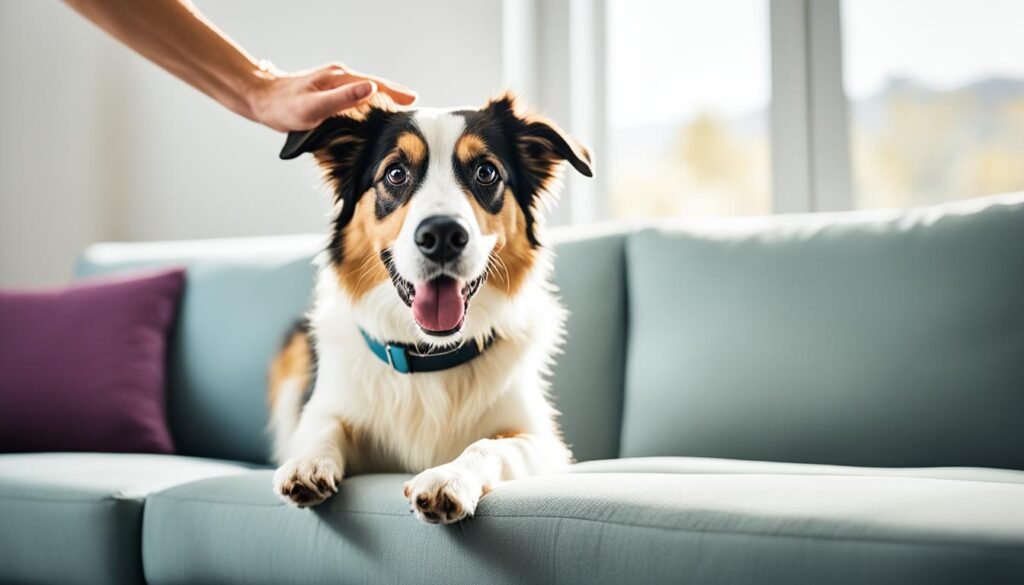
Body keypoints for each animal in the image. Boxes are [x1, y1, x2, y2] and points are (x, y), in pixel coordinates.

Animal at [268, 92, 593, 524]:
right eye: (395, 173)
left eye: (486, 172)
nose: (442, 234)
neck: (431, 356)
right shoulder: (328, 408)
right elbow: (324, 426)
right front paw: (308, 462)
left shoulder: (543, 442)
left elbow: (489, 445)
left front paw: (449, 477)